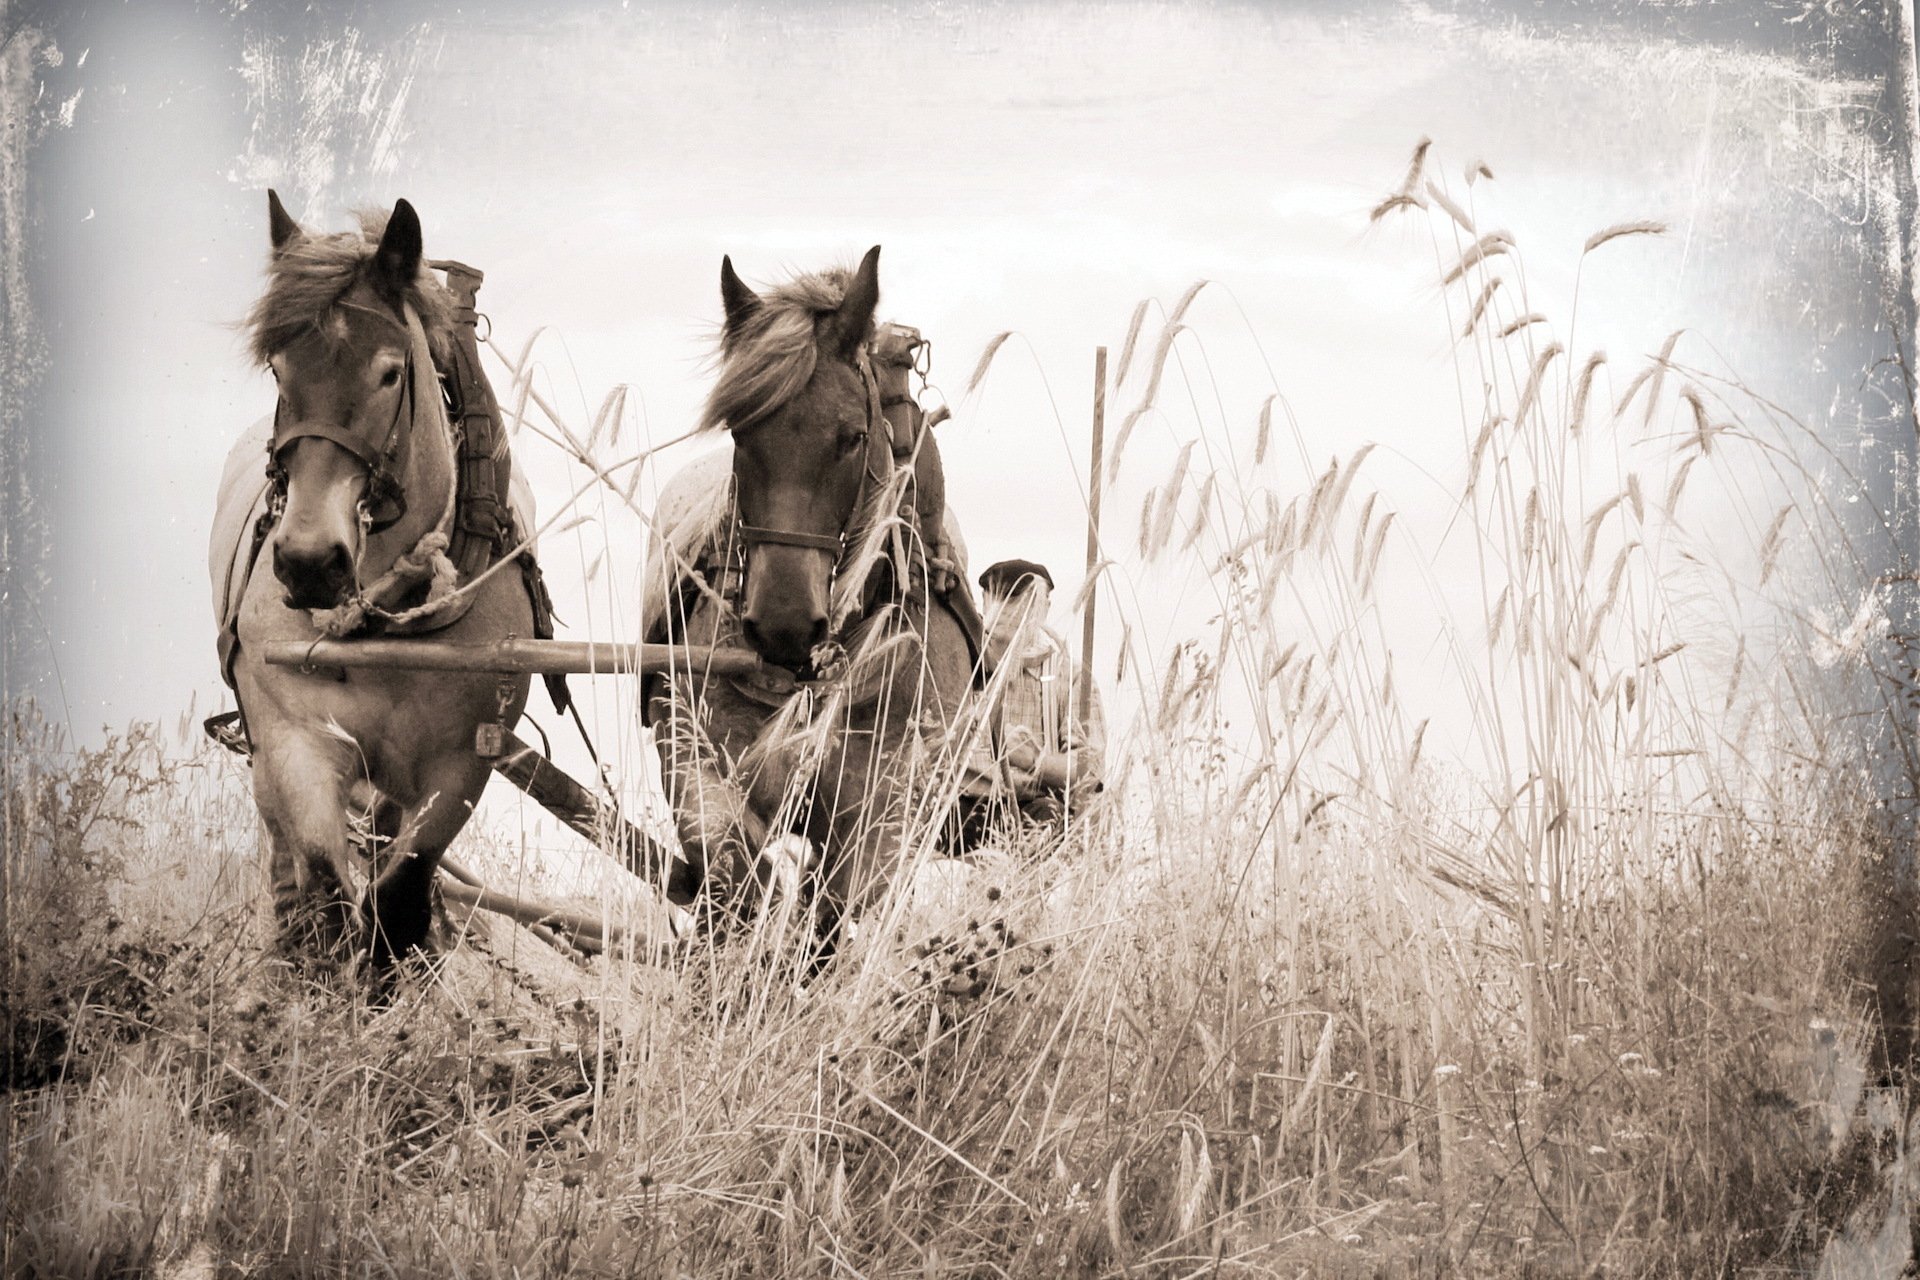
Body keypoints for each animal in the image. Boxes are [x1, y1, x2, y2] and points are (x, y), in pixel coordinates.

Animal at [215, 192, 536, 968]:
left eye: (390, 373)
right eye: (279, 370)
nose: (309, 561)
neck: (383, 622)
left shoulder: (457, 768)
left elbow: (398, 902)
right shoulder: (295, 742)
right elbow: (329, 893)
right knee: (288, 874)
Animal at [641, 247, 980, 951]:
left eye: (852, 437)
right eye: (740, 432)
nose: (784, 626)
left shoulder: (889, 810)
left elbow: (836, 908)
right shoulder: (694, 755)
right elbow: (729, 866)